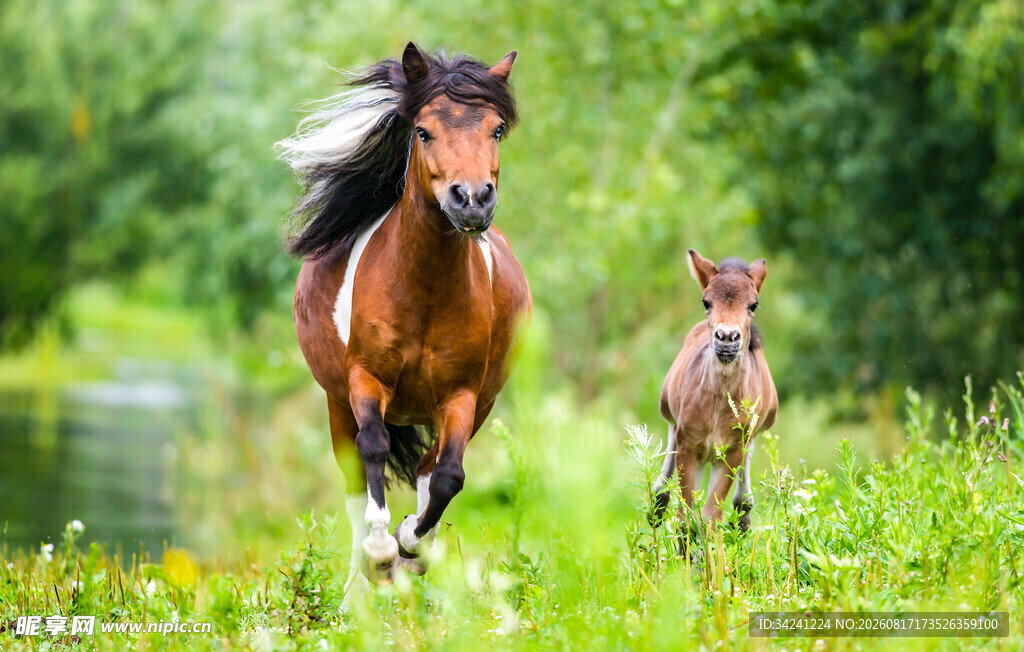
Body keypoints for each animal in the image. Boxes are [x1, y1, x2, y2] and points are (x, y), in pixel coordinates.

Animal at [276, 42, 531, 588]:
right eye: (423, 131)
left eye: (497, 129)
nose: (472, 198)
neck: (425, 291)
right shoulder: (364, 379)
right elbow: (373, 447)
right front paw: (381, 547)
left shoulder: (461, 395)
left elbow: (448, 477)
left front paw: (411, 539)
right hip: (335, 402)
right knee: (356, 480)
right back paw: (362, 584)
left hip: (478, 405)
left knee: (430, 470)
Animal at [653, 250, 777, 536]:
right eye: (706, 302)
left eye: (753, 305)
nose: (727, 337)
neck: (719, 407)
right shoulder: (689, 447)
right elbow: (687, 517)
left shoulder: (731, 453)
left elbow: (710, 516)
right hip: (669, 410)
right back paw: (657, 503)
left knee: (742, 495)